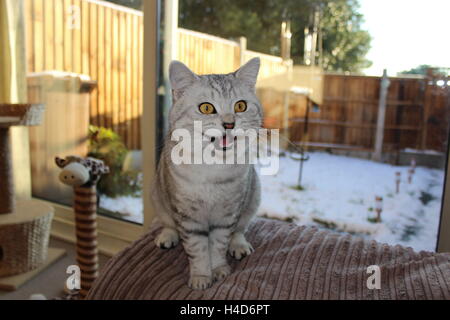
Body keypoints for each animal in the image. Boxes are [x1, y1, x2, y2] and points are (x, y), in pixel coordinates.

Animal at [152, 57, 262, 290]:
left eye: (240, 105)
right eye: (206, 108)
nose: (229, 123)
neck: (214, 165)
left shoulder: (227, 214)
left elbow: (219, 243)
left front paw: (219, 269)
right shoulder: (188, 216)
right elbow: (198, 248)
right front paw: (201, 277)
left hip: (254, 196)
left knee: (240, 229)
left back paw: (239, 245)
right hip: (156, 194)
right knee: (167, 222)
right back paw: (167, 236)